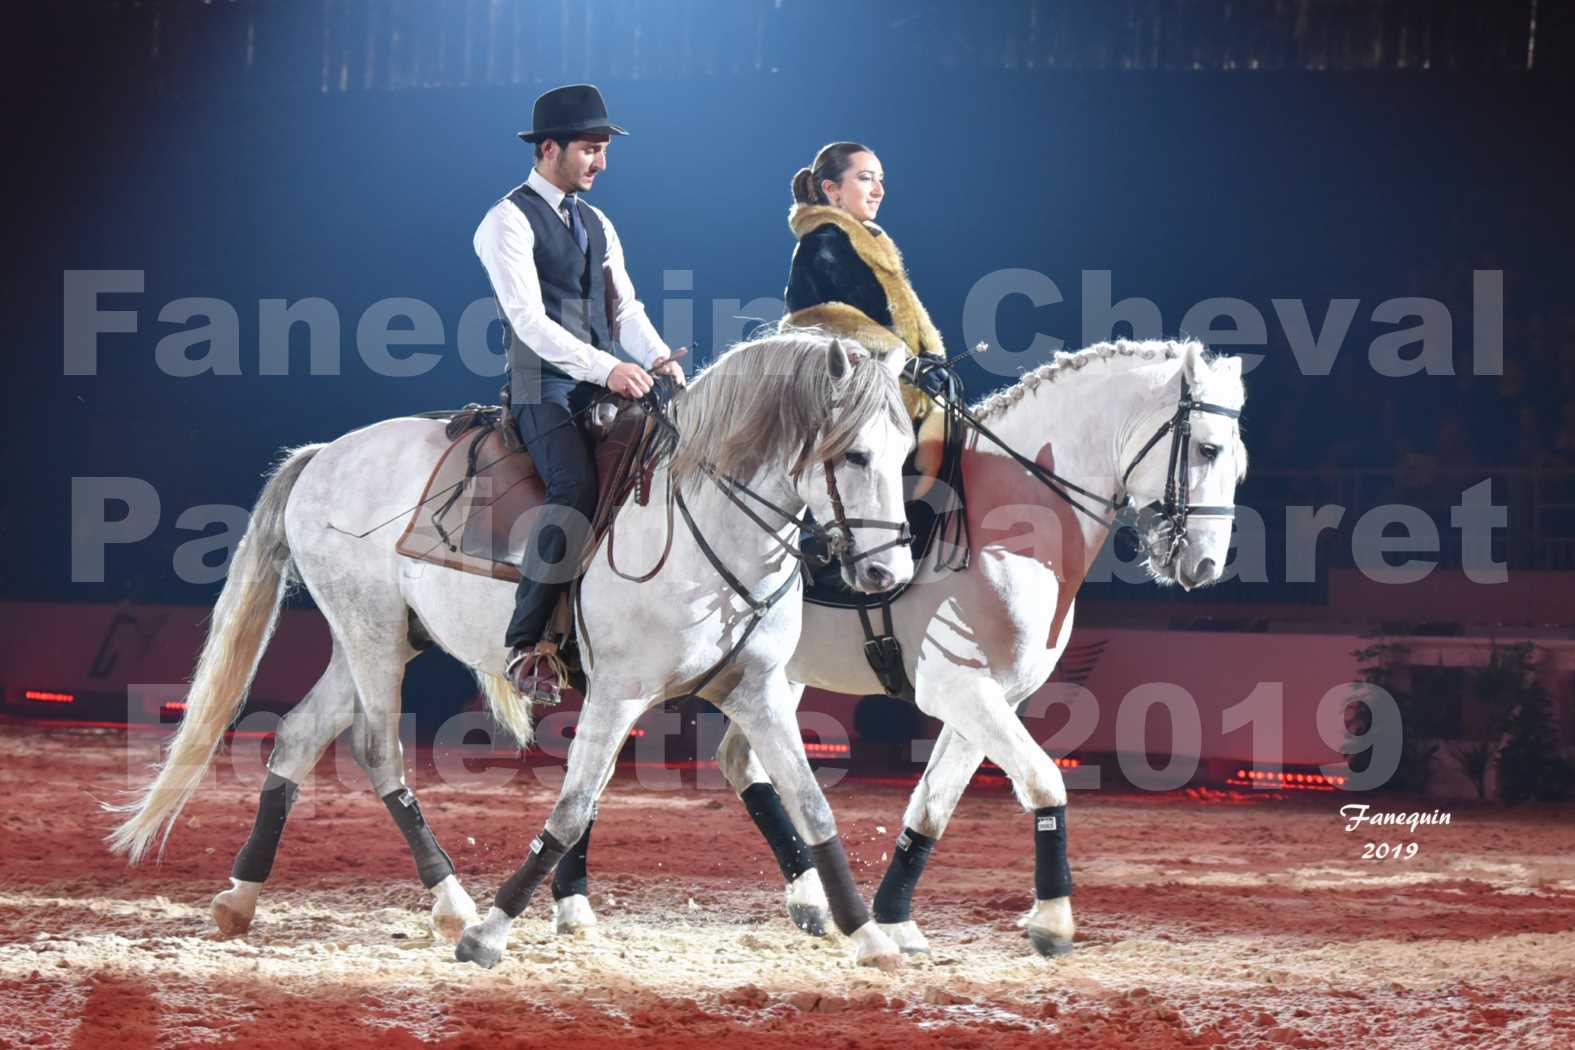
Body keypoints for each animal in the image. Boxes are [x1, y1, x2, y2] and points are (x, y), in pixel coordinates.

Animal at [111, 335, 919, 969]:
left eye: (908, 452)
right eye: (854, 456)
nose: (888, 575)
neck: (704, 520)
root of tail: (322, 455)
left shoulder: (756, 690)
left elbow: (813, 806)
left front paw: (867, 935)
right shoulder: (619, 691)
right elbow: (571, 809)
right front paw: (493, 932)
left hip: (378, 638)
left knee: (298, 737)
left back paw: (240, 895)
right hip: (372, 636)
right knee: (378, 752)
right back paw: (452, 906)